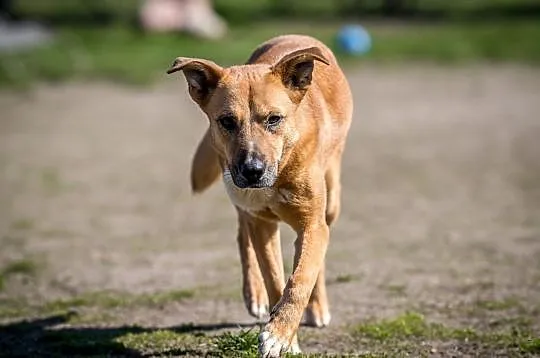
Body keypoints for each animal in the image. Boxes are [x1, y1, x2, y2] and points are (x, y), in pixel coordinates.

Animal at [169, 34, 354, 358]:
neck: (281, 166)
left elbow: (301, 278)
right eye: (227, 121)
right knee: (243, 234)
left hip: (331, 201)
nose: (252, 170)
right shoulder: (261, 221)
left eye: (274, 119)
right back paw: (253, 293)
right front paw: (285, 337)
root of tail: (298, 37)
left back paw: (318, 306)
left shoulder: (312, 224)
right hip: (242, 199)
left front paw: (280, 334)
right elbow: (275, 280)